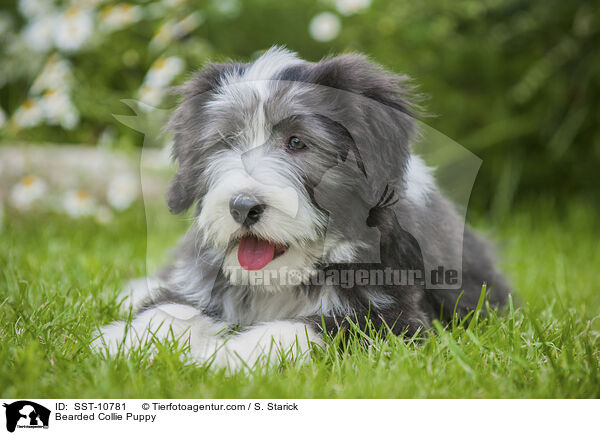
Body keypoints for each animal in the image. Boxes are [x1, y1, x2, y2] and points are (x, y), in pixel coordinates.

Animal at [91, 46, 508, 372]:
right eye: (227, 141)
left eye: (296, 142)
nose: (243, 207)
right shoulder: (203, 281)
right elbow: (173, 308)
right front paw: (120, 342)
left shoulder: (394, 318)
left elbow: (303, 329)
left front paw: (224, 356)